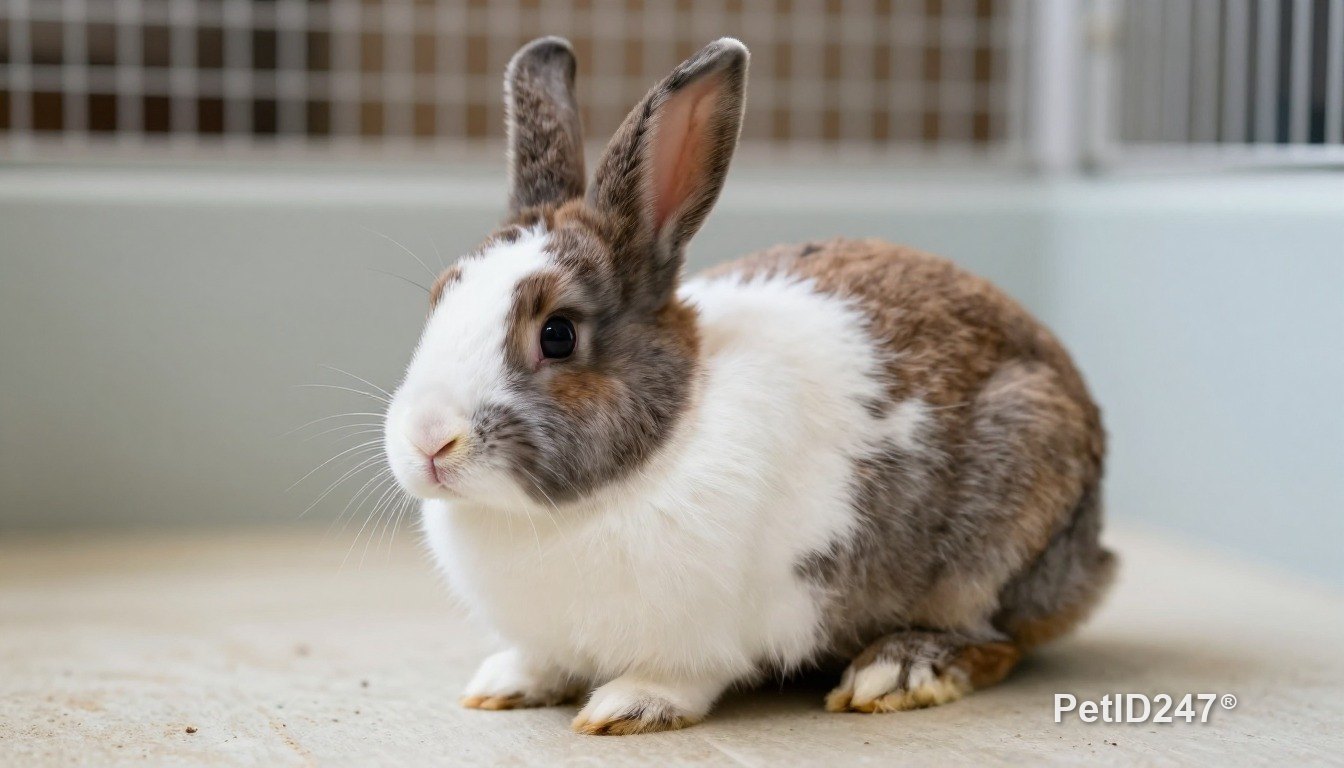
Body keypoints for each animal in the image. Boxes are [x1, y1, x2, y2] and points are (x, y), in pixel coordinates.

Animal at [381, 36, 1115, 735]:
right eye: (440, 298)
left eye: (557, 334)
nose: (428, 440)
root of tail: (1095, 556)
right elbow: (543, 659)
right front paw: (505, 684)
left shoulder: (712, 632)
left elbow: (681, 676)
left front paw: (629, 707)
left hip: (1003, 526)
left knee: (997, 639)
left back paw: (897, 672)